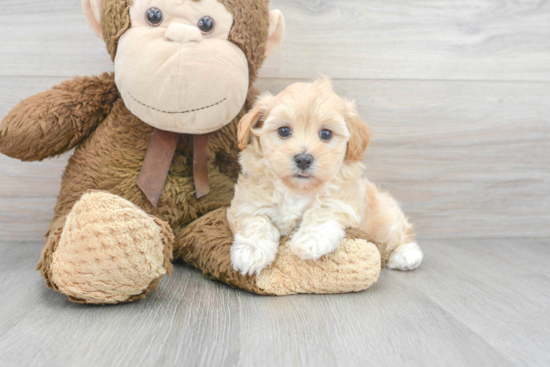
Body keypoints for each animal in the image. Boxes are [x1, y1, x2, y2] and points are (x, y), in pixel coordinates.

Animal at [226, 79, 424, 278]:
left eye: (326, 134)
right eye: (283, 131)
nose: (303, 159)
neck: (297, 189)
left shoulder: (344, 201)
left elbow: (321, 211)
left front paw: (310, 241)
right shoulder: (247, 203)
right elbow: (256, 221)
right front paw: (251, 253)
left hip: (384, 219)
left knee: (401, 233)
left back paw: (406, 255)